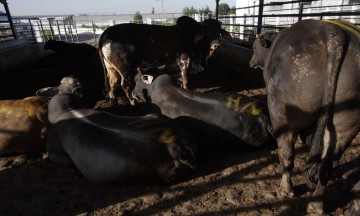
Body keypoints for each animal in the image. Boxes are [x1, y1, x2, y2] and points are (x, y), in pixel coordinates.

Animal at [98, 16, 232, 105]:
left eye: (219, 31)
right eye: (205, 32)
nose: (216, 45)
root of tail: (106, 32)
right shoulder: (185, 61)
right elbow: (186, 81)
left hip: (111, 68)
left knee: (112, 84)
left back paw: (113, 101)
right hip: (125, 69)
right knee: (124, 85)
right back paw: (133, 101)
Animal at [250, 19, 360, 214]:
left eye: (254, 48)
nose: (250, 62)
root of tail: (333, 34)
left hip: (284, 117)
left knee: (287, 154)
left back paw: (286, 190)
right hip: (345, 127)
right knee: (326, 165)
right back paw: (316, 205)